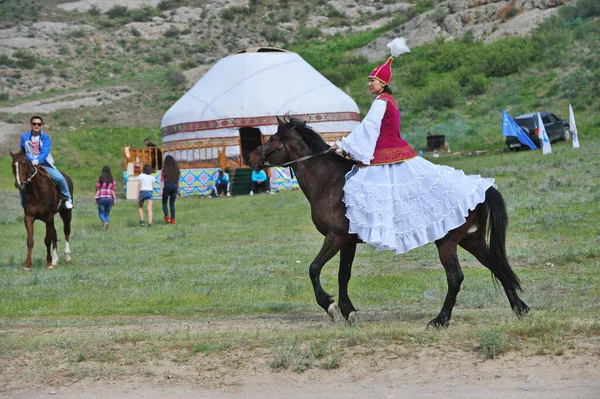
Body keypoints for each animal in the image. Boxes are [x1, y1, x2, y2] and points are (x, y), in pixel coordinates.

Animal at [248, 116, 528, 328]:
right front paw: (349, 312)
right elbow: (343, 274)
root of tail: (482, 187)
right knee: (496, 265)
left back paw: (440, 320)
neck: (329, 182)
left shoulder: (335, 238)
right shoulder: (348, 241)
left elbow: (314, 268)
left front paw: (331, 306)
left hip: (447, 242)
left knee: (455, 277)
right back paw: (519, 308)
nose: (250, 157)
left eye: (271, 138)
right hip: (471, 239)